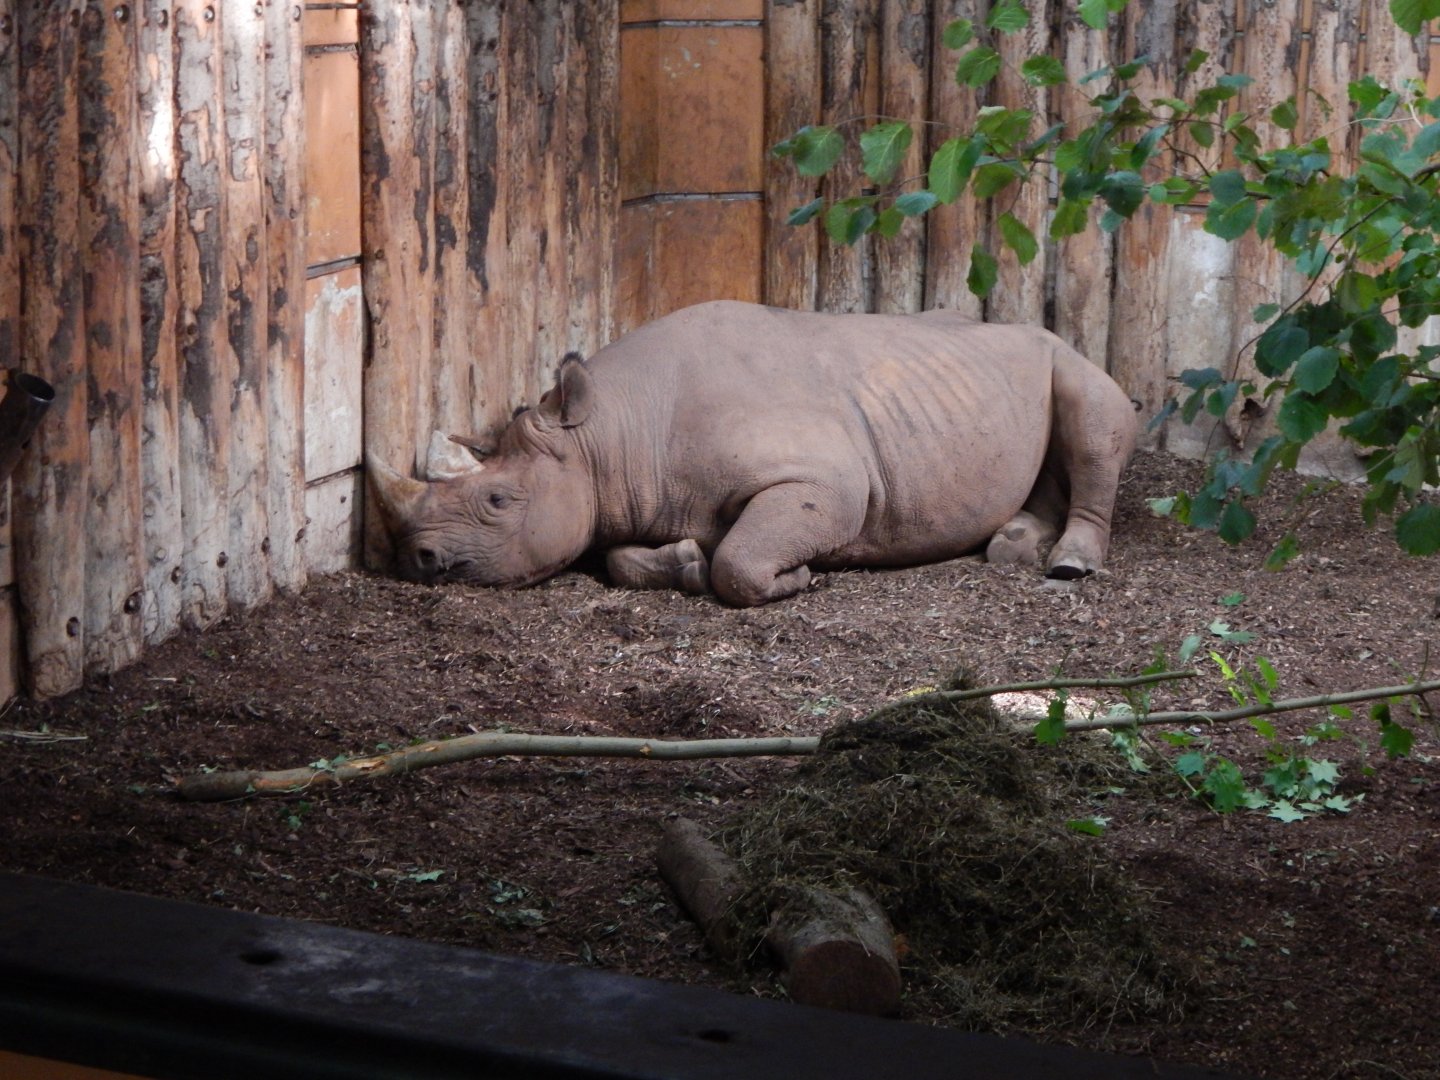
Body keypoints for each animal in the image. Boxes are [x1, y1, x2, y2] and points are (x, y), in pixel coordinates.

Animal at [367, 301, 1137, 607]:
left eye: (498, 501)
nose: (417, 559)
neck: (609, 437)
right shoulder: (626, 500)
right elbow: (620, 559)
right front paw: (684, 562)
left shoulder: (827, 482)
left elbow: (739, 561)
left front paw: (794, 579)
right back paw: (1013, 545)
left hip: (1062, 355)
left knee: (1095, 417)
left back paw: (1068, 565)